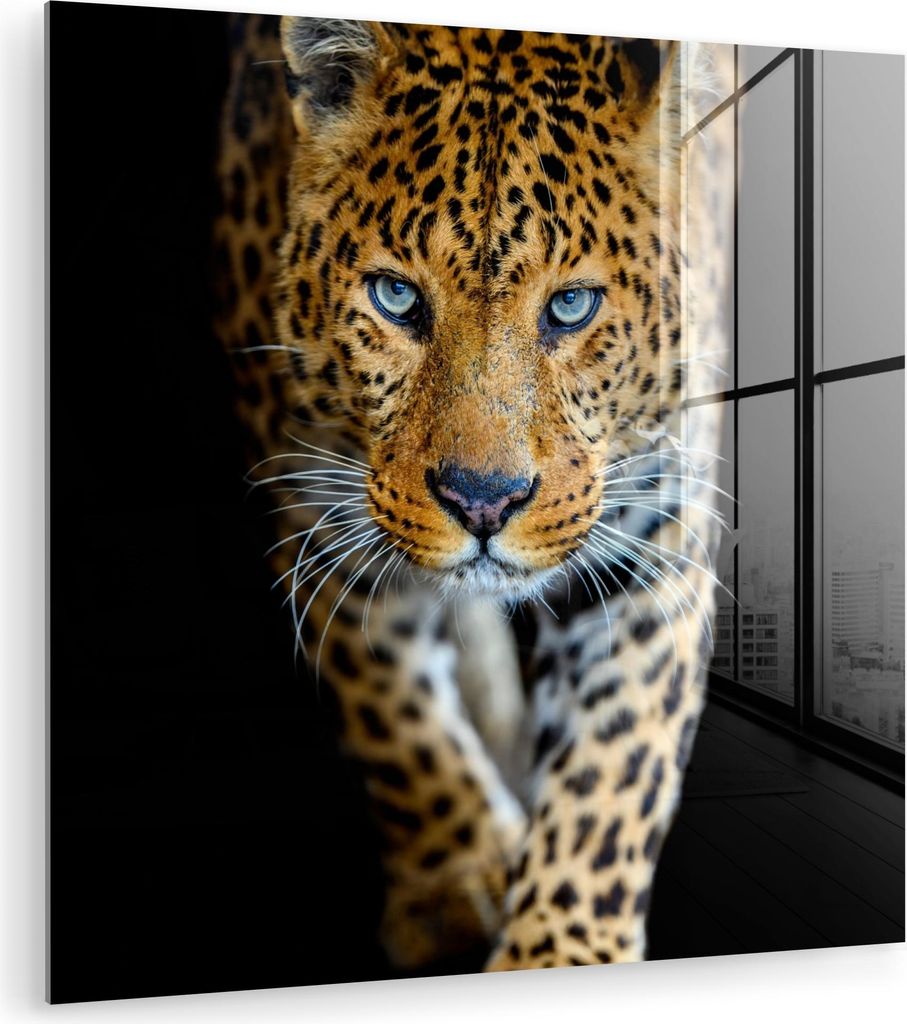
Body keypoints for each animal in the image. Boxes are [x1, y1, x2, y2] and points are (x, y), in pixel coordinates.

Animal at [212, 12, 733, 973]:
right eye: (394, 298)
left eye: (570, 307)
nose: (483, 502)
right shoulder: (312, 505)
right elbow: (391, 711)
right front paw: (455, 881)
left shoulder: (654, 541)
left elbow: (613, 774)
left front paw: (559, 957)